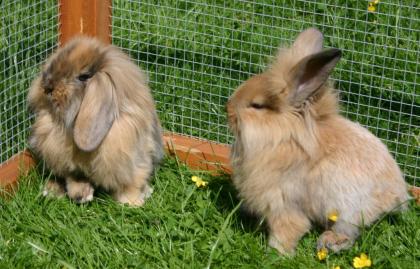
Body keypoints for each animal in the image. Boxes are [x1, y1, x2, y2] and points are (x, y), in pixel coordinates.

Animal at [28, 36, 164, 205]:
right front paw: (81, 195)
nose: (47, 87)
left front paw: (131, 203)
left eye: (84, 77)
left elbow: (132, 184)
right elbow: (72, 177)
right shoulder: (66, 162)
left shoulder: (134, 163)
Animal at [228, 28, 408, 254]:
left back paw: (328, 243)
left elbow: (288, 229)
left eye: (257, 105)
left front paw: (276, 253)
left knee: (349, 232)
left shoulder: (283, 204)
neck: (283, 140)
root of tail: (399, 195)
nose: (228, 109)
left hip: (347, 209)